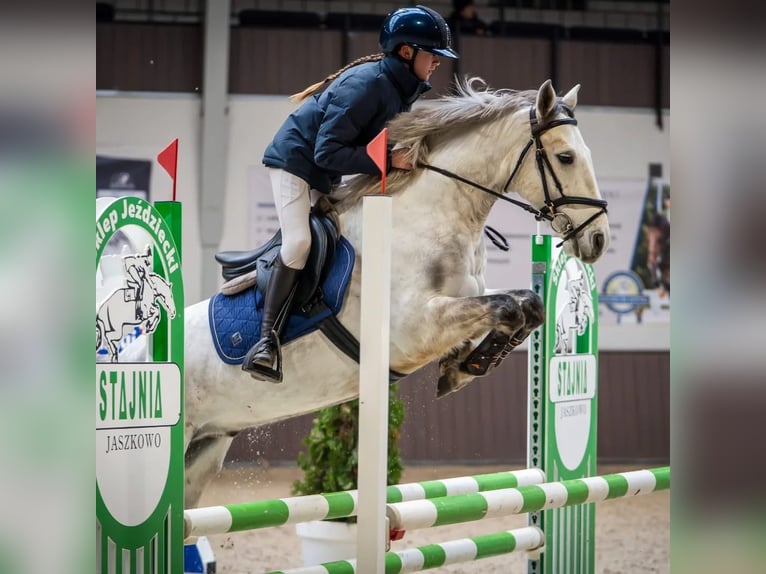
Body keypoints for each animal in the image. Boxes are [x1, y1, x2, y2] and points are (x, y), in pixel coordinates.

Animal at [177, 78, 611, 508]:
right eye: (566, 157)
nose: (598, 239)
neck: (428, 217)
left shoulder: (464, 298)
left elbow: (526, 305)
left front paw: (466, 365)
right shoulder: (415, 328)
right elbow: (506, 307)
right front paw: (463, 366)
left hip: (204, 451)